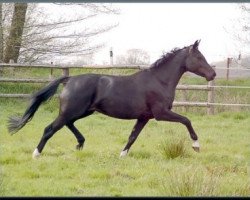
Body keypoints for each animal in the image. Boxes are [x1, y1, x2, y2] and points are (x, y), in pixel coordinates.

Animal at [7, 40, 215, 158]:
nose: (212, 74)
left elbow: (132, 136)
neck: (159, 80)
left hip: (82, 112)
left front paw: (122, 155)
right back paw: (36, 154)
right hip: (72, 111)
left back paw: (80, 143)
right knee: (49, 128)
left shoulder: (144, 117)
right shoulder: (161, 113)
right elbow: (186, 121)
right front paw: (196, 146)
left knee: (67, 124)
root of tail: (69, 79)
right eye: (199, 57)